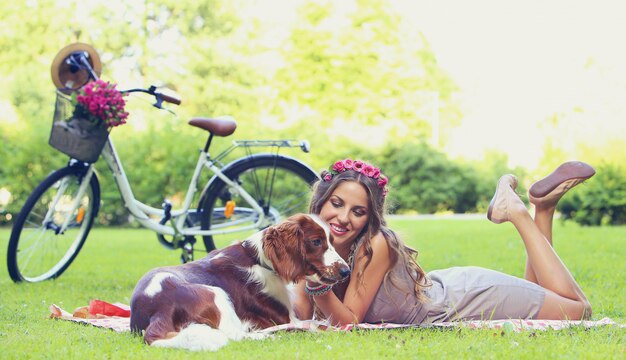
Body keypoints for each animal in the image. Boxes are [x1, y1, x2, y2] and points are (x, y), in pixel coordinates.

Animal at [129, 214, 348, 352]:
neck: (259, 260)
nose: (346, 271)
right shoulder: (284, 317)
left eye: (331, 240)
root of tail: (157, 309)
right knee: (235, 334)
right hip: (215, 294)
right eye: (317, 241)